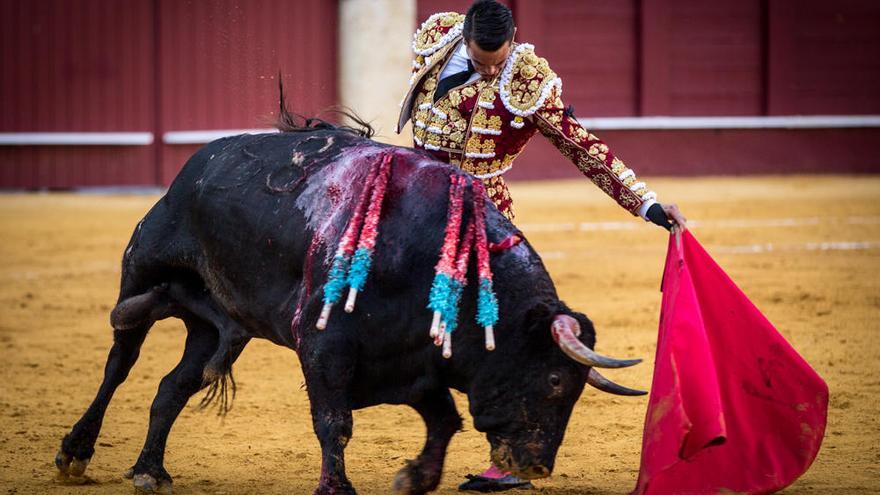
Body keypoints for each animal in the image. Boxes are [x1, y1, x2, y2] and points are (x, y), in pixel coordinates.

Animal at [55, 106, 648, 494]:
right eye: (554, 381)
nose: (536, 467)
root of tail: (197, 165)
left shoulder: (415, 363)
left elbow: (445, 422)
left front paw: (414, 477)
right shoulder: (324, 349)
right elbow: (333, 422)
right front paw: (337, 488)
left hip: (220, 323)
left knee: (173, 386)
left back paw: (150, 470)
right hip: (141, 271)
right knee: (119, 364)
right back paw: (75, 453)